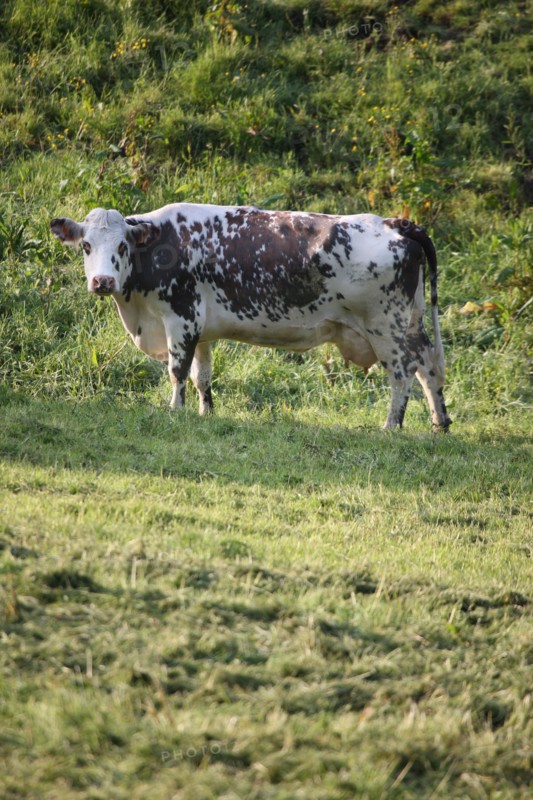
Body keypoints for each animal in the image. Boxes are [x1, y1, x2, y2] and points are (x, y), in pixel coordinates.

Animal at [50, 203, 451, 431]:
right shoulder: (201, 329)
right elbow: (202, 376)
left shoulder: (181, 318)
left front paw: (175, 411)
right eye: (86, 246)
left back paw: (391, 425)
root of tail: (395, 223)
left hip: (386, 329)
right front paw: (205, 413)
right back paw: (440, 422)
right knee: (429, 366)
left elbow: (177, 372)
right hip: (412, 323)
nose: (103, 281)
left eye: (122, 245)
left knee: (403, 374)